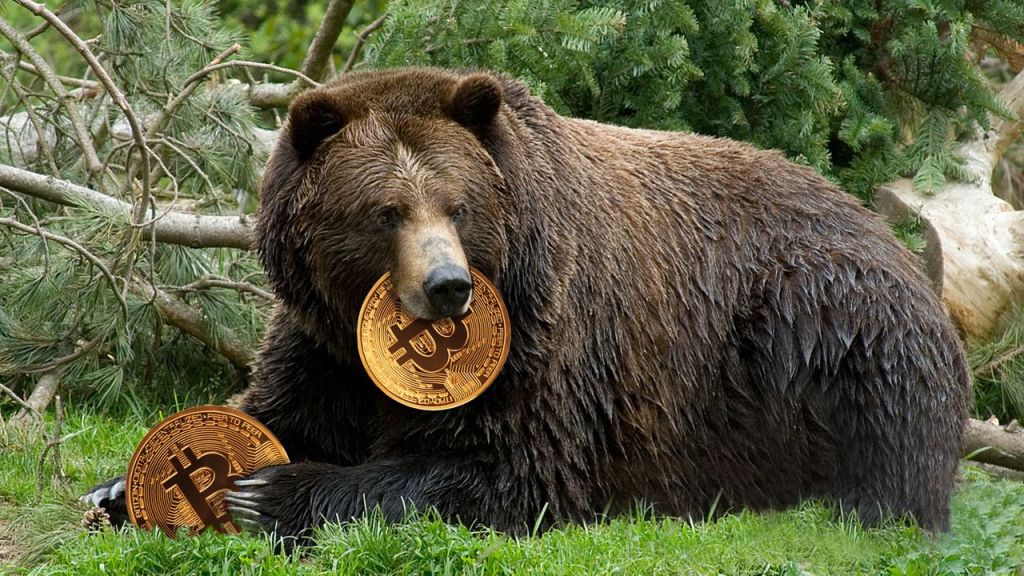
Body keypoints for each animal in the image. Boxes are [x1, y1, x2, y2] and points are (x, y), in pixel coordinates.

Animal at [85, 67, 970, 542]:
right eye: (385, 211)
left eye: (458, 204)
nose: (448, 286)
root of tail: (895, 243)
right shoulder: (320, 343)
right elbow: (277, 405)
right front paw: (116, 490)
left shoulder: (550, 338)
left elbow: (509, 469)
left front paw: (269, 492)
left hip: (818, 328)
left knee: (880, 446)